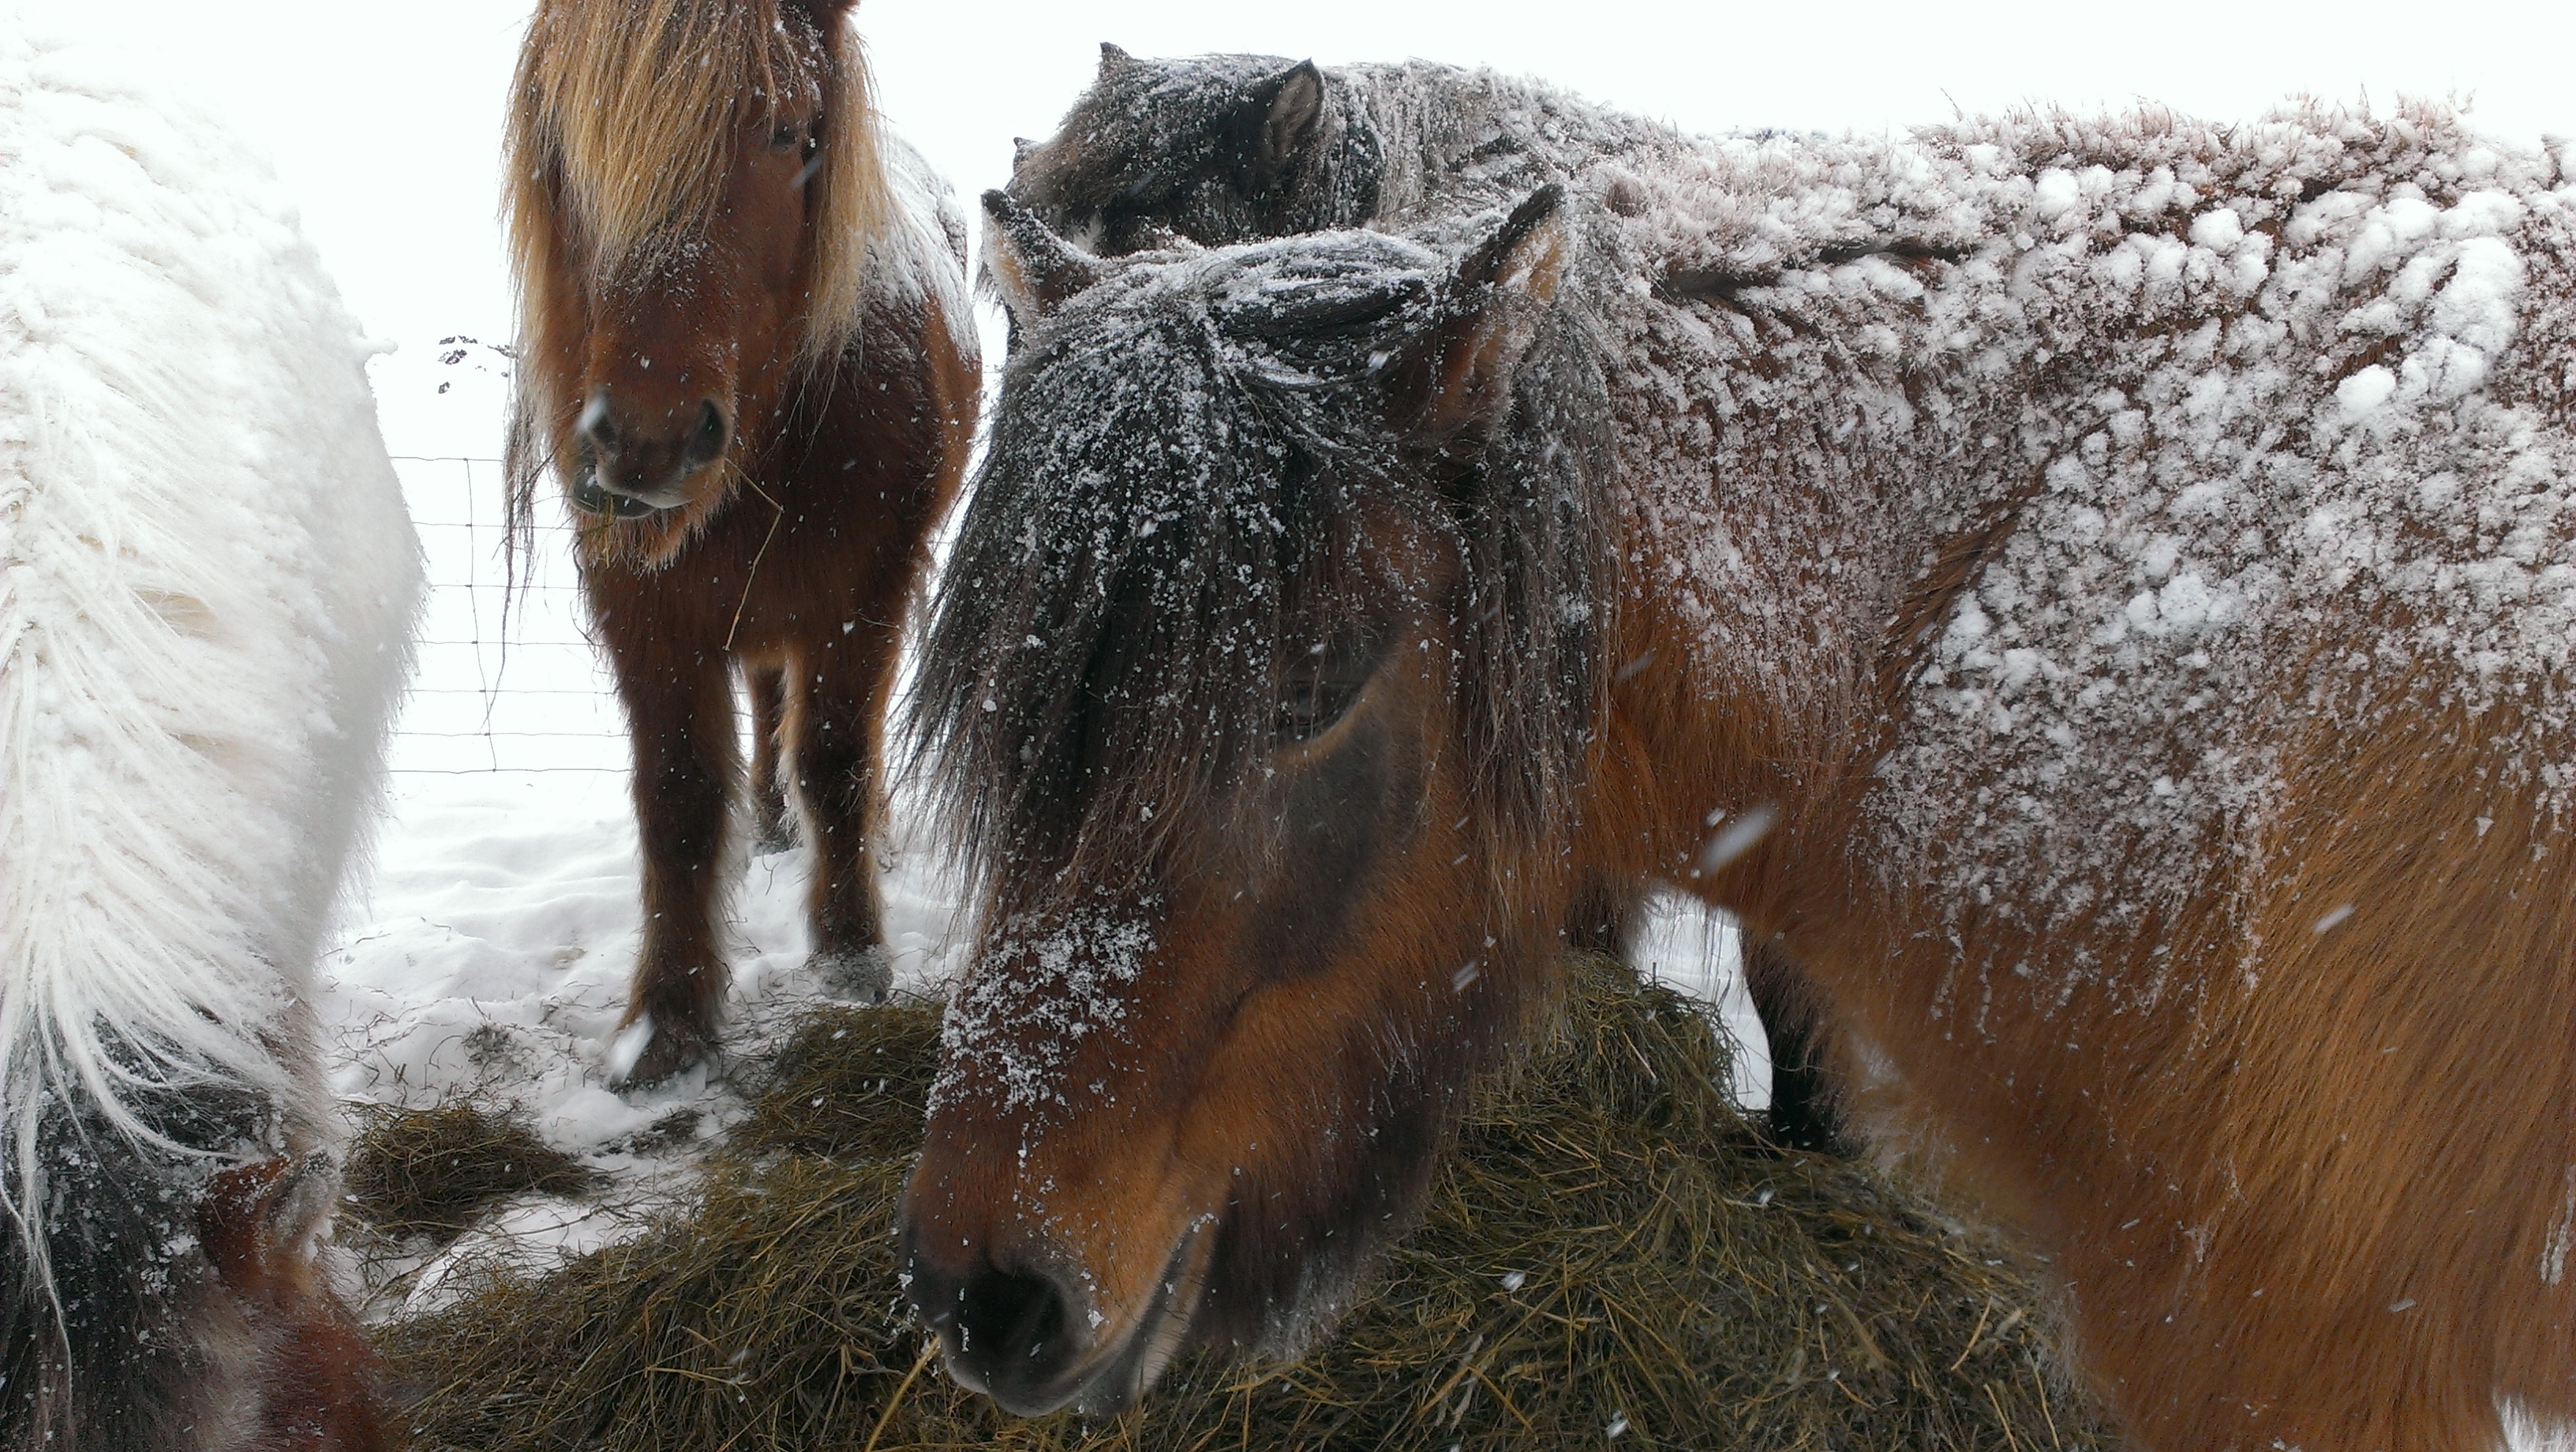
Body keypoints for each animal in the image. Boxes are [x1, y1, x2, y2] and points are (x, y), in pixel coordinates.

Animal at [503, 0, 979, 1084]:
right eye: (571, 142)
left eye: (790, 132)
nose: (649, 439)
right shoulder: (643, 606)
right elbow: (678, 798)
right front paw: (668, 1022)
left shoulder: (866, 594)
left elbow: (838, 761)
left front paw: (851, 953)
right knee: (765, 697)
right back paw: (765, 820)